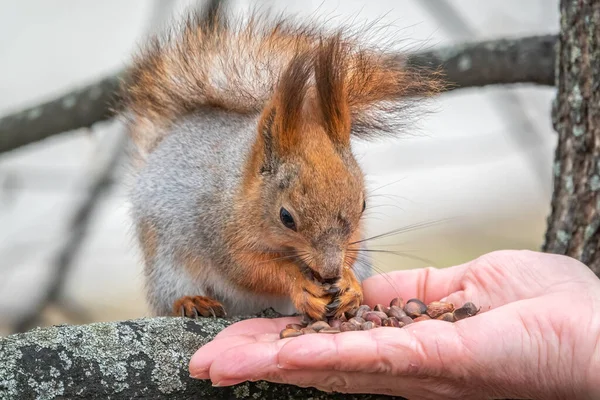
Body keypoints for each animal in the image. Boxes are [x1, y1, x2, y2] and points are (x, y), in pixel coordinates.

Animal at [120, 4, 440, 320]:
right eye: (286, 217)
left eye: (362, 205)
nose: (329, 272)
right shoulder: (220, 233)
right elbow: (250, 269)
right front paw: (300, 283)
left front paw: (349, 285)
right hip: (167, 264)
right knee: (171, 293)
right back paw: (192, 301)